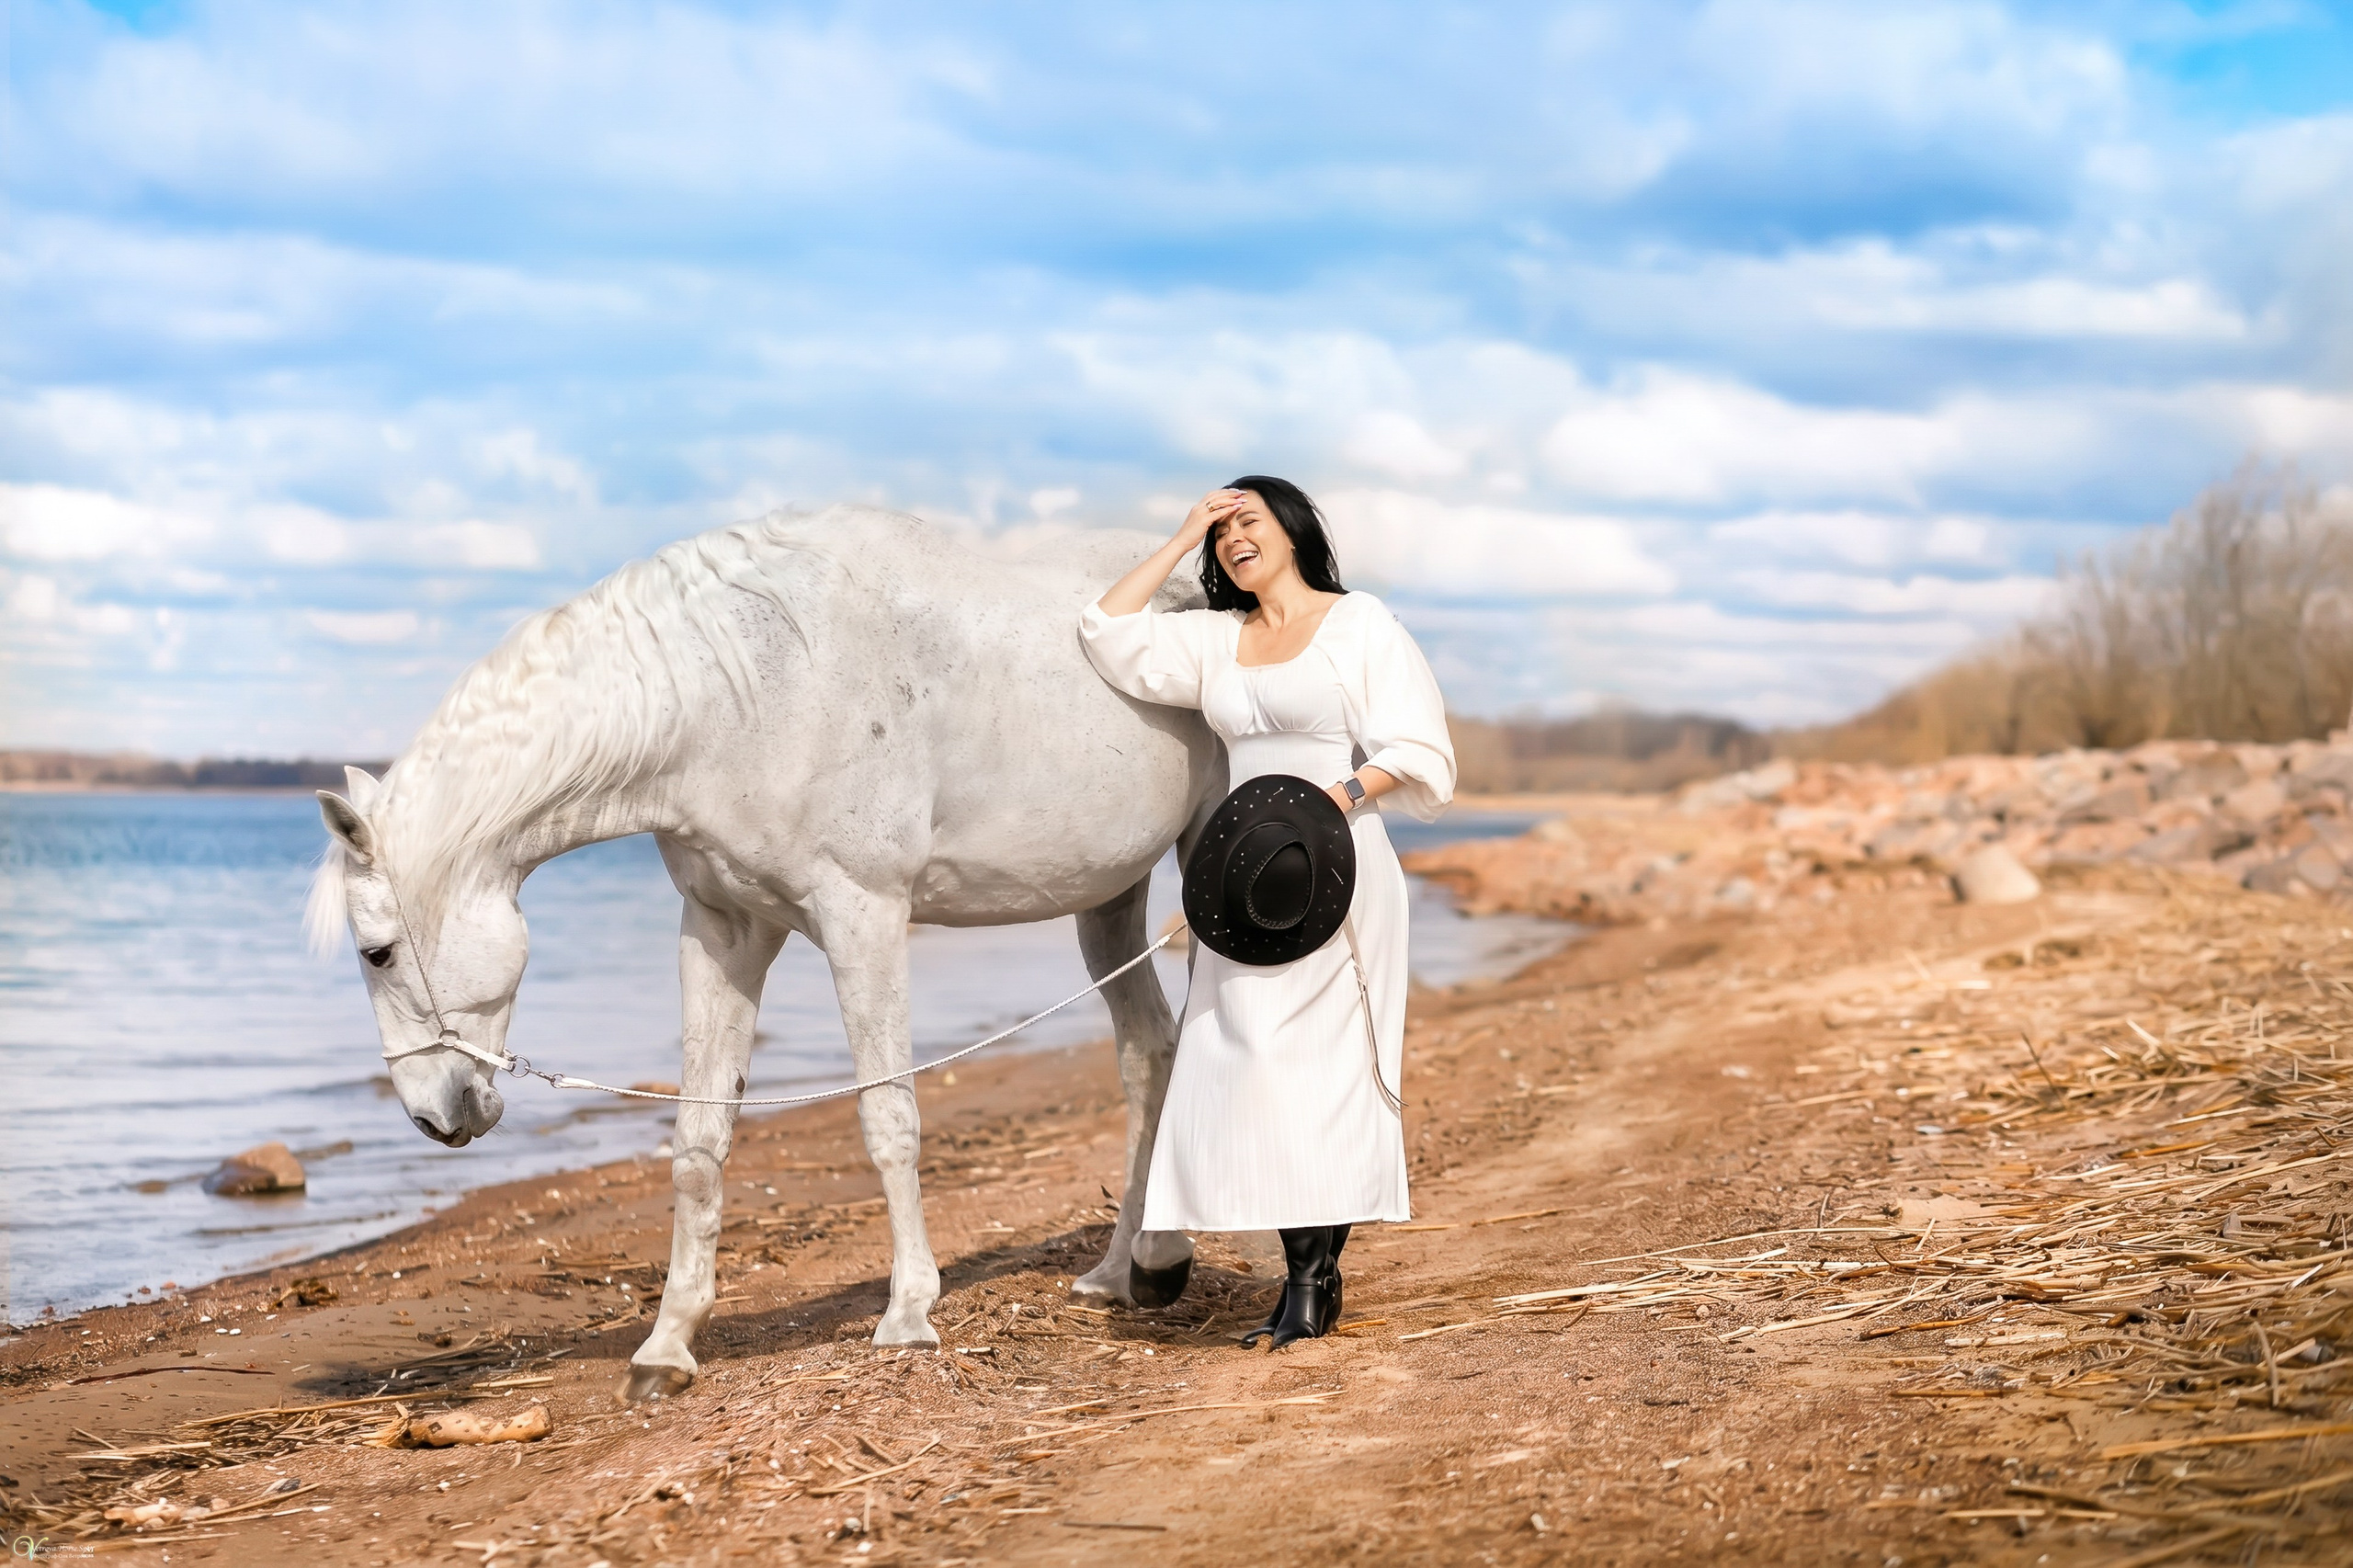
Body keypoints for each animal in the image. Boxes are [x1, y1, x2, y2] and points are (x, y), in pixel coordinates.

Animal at [309, 506, 1223, 1402]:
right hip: (1107, 897)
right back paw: (1131, 1269)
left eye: (378, 954)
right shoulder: (724, 931)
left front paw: (908, 1314)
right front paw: (668, 1344)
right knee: (1149, 1053)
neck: (741, 694)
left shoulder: (865, 918)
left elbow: (888, 1118)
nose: (430, 1117)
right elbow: (699, 1139)